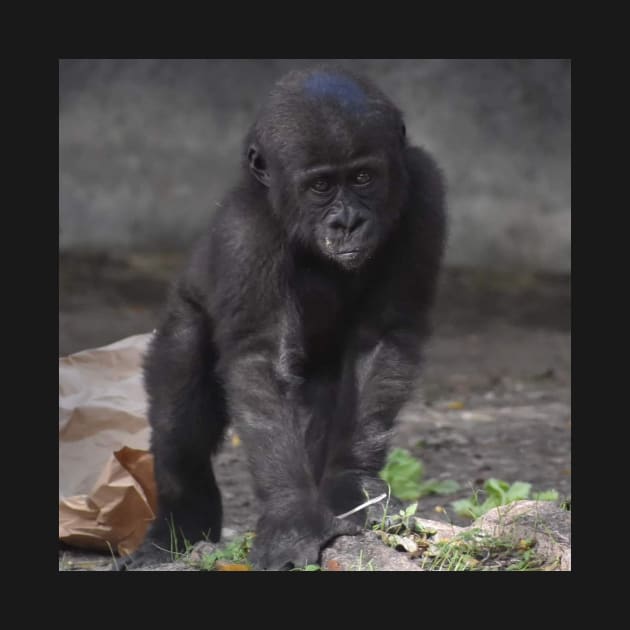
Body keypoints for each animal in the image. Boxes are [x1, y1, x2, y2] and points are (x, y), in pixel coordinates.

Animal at [117, 65, 444, 572]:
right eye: (321, 187)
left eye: (363, 177)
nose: (347, 222)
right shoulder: (246, 230)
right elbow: (260, 360)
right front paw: (292, 517)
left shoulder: (425, 191)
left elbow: (384, 334)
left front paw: (351, 484)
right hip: (180, 318)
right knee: (179, 416)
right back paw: (177, 527)